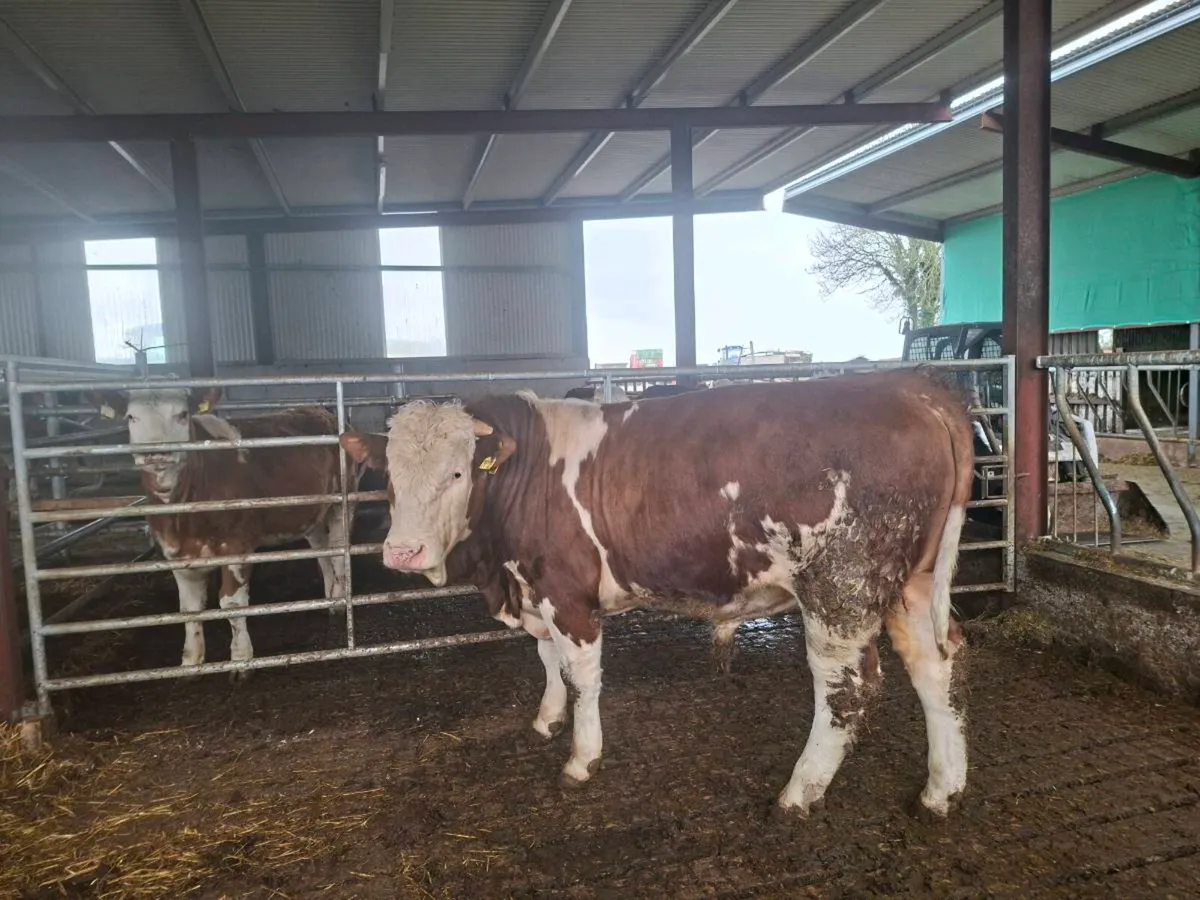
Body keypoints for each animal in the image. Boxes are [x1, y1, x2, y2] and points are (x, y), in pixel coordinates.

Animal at [89, 387, 353, 679]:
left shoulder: (237, 546)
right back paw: (330, 598)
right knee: (322, 550)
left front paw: (240, 660)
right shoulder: (175, 554)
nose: (156, 453)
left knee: (339, 550)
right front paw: (191, 662)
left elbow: (232, 604)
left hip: (342, 503)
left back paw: (340, 600)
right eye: (131, 417)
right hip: (310, 513)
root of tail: (319, 410)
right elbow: (188, 610)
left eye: (183, 414)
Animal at [340, 371, 975, 817]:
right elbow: (545, 659)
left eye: (458, 473)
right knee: (935, 665)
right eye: (388, 478)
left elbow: (581, 676)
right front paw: (546, 718)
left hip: (839, 591)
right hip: (913, 584)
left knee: (846, 688)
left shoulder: (568, 594)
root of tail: (910, 388)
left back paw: (799, 791)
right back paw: (941, 790)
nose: (403, 552)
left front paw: (581, 757)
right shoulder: (534, 588)